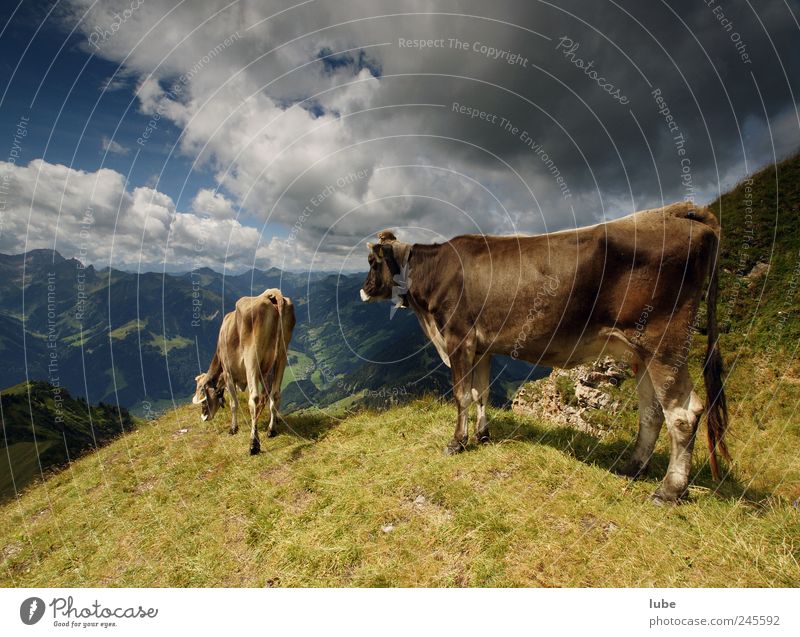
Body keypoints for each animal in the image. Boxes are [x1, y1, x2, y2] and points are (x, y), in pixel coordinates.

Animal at [192, 286, 296, 454]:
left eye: (204, 398)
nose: (204, 417)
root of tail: (270, 295)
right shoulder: (265, 372)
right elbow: (268, 396)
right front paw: (274, 421)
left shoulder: (228, 374)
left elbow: (233, 403)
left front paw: (233, 428)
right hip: (282, 354)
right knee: (275, 393)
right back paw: (271, 430)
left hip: (251, 357)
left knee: (254, 398)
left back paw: (254, 444)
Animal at [360, 204, 732, 502]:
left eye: (371, 261)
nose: (363, 291)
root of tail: (676, 211)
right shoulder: (481, 346)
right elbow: (482, 392)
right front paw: (482, 434)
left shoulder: (457, 338)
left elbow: (462, 394)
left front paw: (457, 442)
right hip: (640, 351)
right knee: (652, 413)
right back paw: (631, 467)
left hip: (664, 342)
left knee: (683, 414)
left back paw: (670, 490)